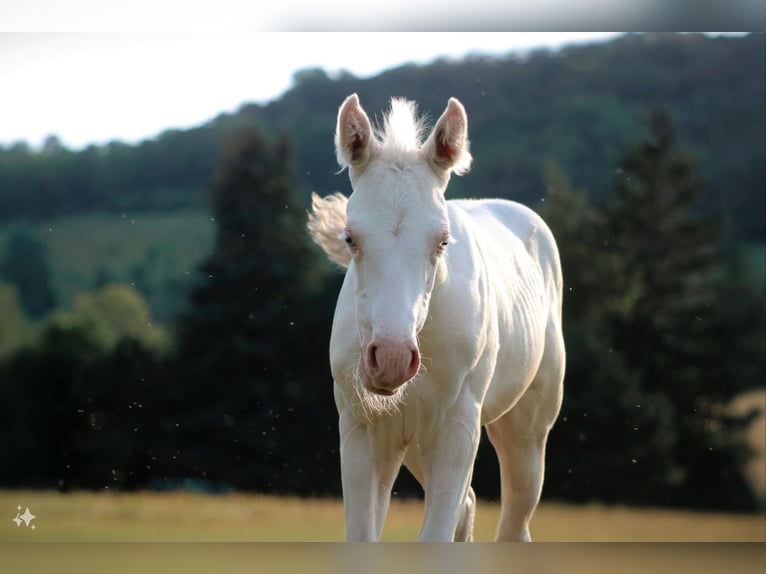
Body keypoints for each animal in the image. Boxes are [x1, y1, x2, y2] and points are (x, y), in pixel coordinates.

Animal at [308, 94, 568, 544]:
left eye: (443, 242)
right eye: (350, 238)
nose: (391, 358)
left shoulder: (457, 431)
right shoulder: (363, 432)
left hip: (527, 428)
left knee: (514, 521)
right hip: (412, 442)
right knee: (469, 505)